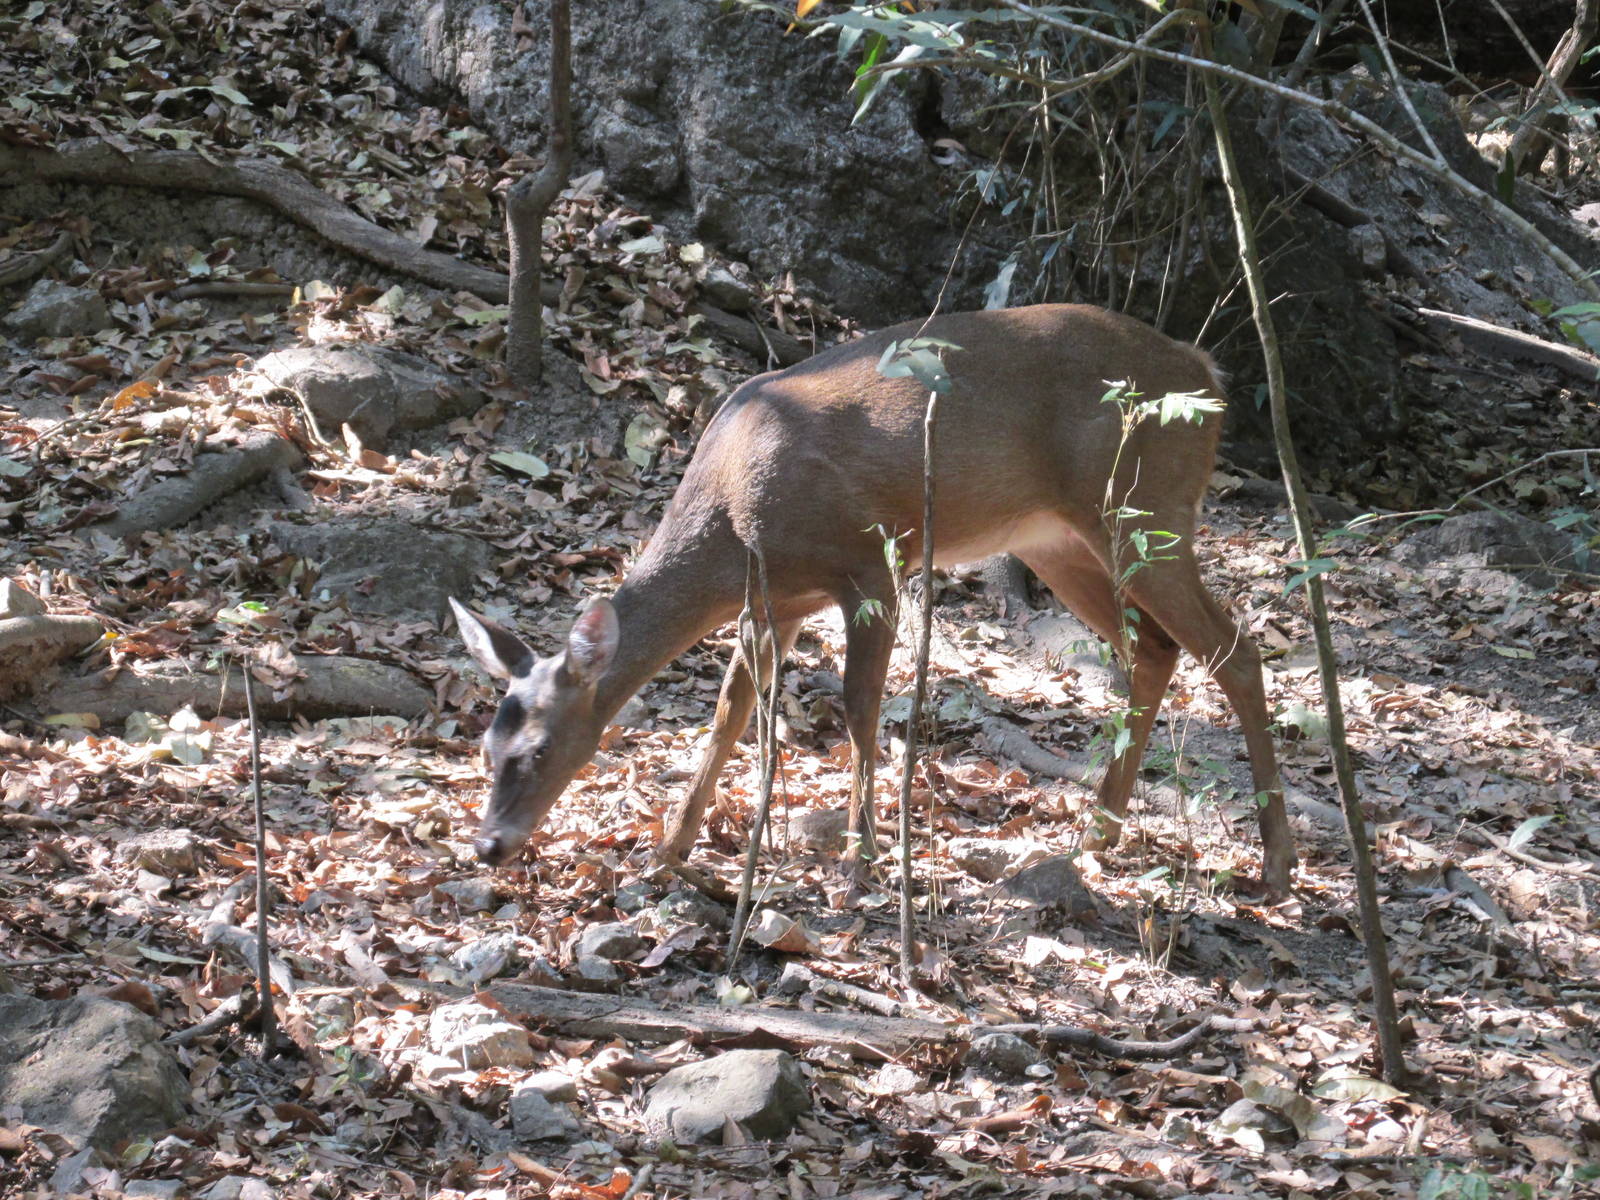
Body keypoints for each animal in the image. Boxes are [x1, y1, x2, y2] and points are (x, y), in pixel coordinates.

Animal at [449, 303, 1298, 895]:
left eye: (538, 751)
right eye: (484, 749)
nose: (489, 845)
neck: (733, 523)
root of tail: (1207, 374)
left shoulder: (871, 562)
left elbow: (860, 710)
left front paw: (859, 859)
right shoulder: (774, 603)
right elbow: (730, 714)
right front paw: (672, 849)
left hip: (1146, 506)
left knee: (1236, 650)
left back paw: (1275, 864)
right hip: (1056, 537)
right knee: (1154, 648)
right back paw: (1099, 834)